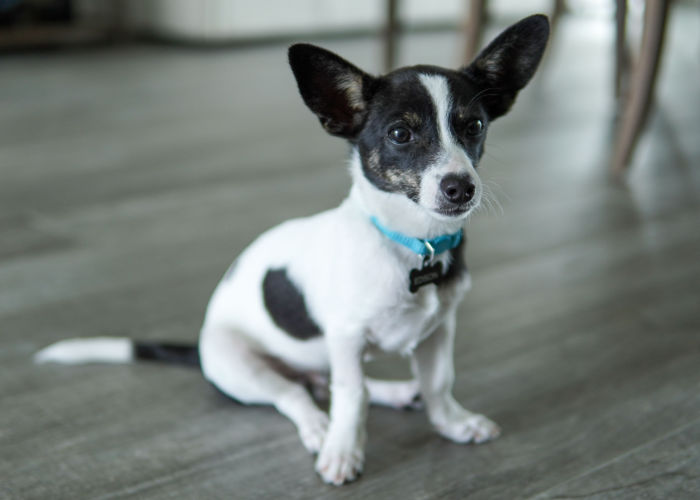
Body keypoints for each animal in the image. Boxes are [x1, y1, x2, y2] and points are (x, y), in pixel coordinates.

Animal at [37, 14, 552, 484]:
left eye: (475, 126)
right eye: (400, 134)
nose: (461, 188)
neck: (410, 240)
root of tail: (202, 350)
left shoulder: (438, 331)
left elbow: (438, 382)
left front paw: (453, 423)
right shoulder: (345, 336)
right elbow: (351, 397)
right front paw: (343, 452)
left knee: (329, 382)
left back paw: (394, 393)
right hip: (242, 367)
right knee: (297, 396)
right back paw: (319, 428)